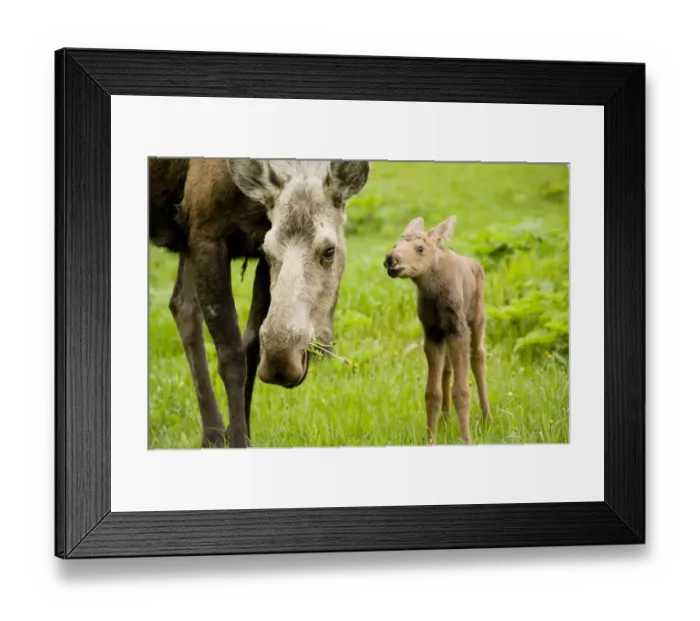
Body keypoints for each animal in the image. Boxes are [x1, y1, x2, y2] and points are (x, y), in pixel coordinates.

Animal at [149, 158, 371, 449]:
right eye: (268, 252)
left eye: (329, 251)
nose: (281, 362)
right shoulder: (205, 232)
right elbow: (231, 356)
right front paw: (238, 440)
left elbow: (251, 348)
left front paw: (243, 434)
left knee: (182, 306)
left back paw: (212, 435)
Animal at [383, 216, 493, 445]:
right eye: (395, 245)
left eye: (420, 248)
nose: (391, 259)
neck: (433, 291)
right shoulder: (432, 333)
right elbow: (432, 393)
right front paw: (430, 439)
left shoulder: (458, 330)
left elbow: (462, 392)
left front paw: (466, 440)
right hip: (445, 335)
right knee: (447, 370)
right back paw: (445, 420)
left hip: (477, 319)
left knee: (479, 358)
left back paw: (488, 418)